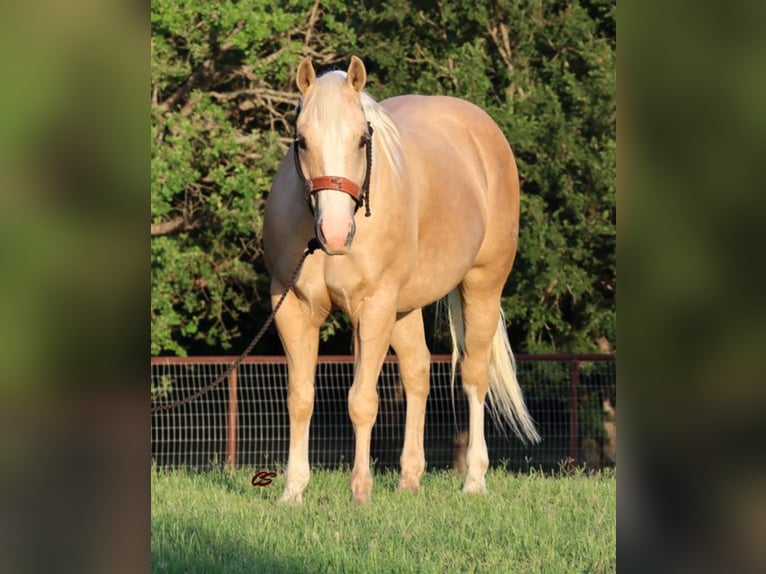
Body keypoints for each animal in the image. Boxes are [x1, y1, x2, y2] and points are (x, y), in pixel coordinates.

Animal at [264, 54, 540, 504]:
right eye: (301, 141)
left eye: (362, 139)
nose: (335, 233)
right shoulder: (293, 308)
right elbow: (300, 398)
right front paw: (293, 490)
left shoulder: (373, 308)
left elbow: (361, 400)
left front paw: (360, 491)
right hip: (404, 308)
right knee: (417, 373)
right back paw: (410, 477)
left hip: (481, 286)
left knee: (473, 375)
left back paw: (474, 479)